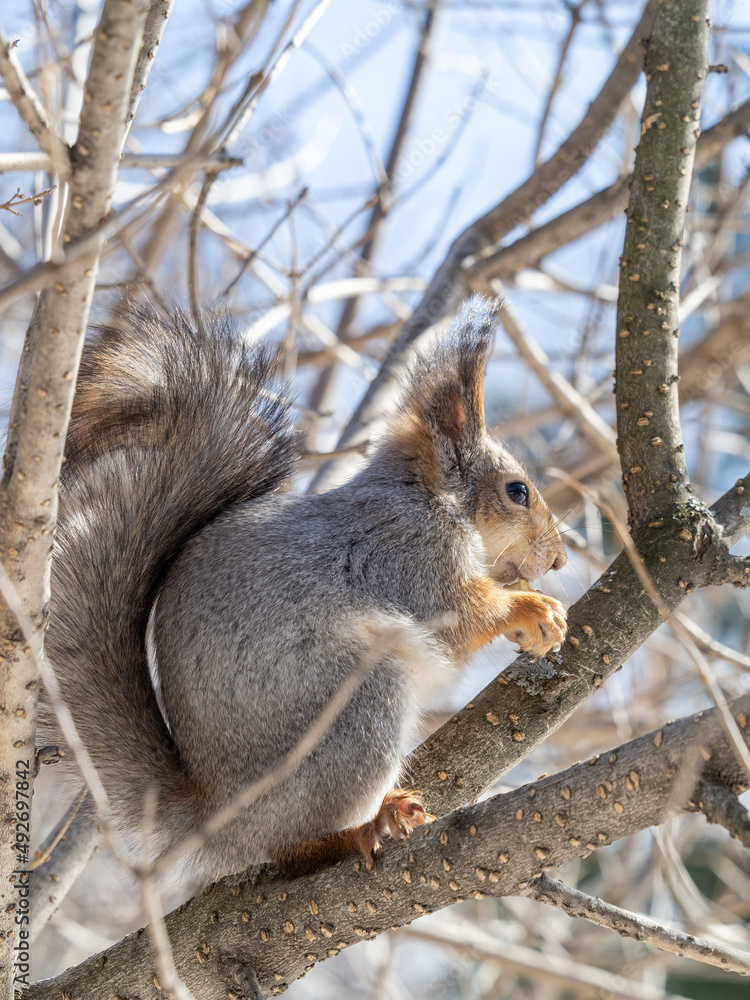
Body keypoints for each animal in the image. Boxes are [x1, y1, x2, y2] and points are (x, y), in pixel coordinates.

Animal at [41, 295, 567, 879]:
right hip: (360, 705)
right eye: (517, 491)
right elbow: (460, 617)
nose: (560, 558)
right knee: (292, 849)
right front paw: (531, 609)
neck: (425, 497)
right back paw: (359, 829)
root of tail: (218, 818)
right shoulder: (408, 556)